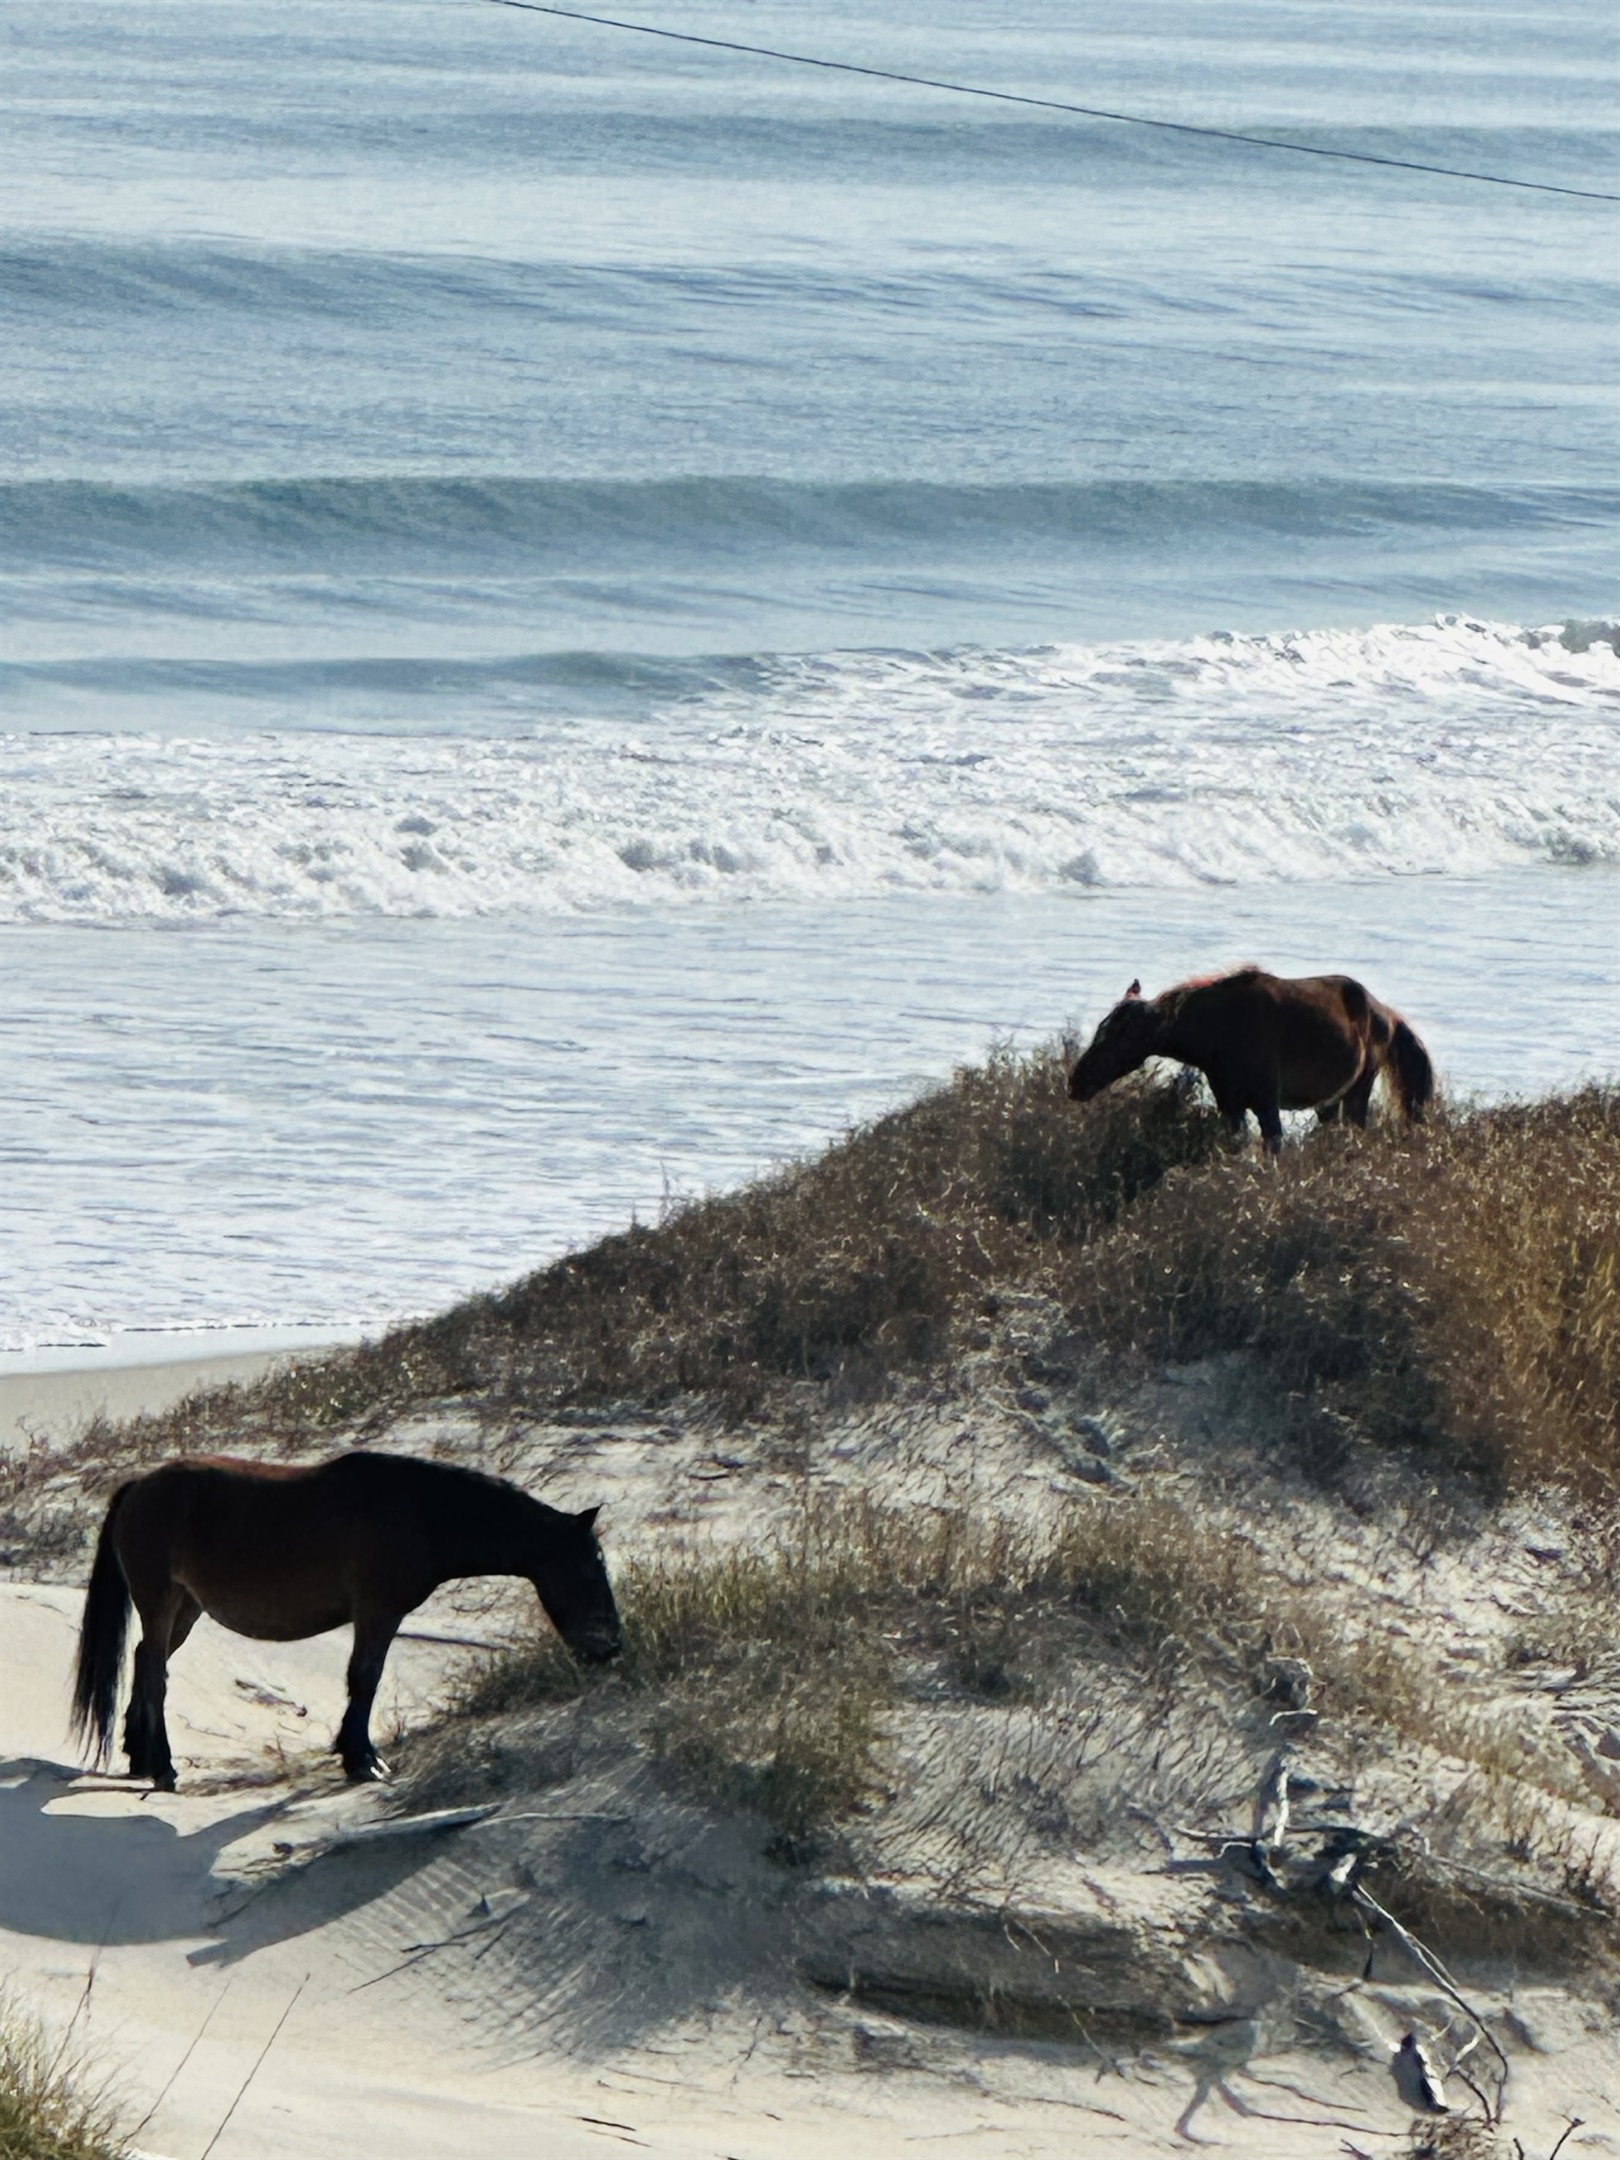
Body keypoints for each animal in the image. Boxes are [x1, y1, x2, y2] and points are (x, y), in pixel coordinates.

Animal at [70, 1450, 622, 1791]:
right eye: (589, 1565)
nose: (611, 1647)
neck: (421, 1511)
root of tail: (139, 1486)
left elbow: (363, 1681)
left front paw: (356, 1753)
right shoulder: (377, 1613)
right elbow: (365, 1679)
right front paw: (363, 1759)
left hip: (185, 1608)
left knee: (146, 1661)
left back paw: (140, 1756)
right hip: (161, 1601)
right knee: (154, 1674)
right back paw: (163, 1767)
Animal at [1066, 967, 1434, 1153]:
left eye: (1123, 1035)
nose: (1076, 1083)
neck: (1222, 1028)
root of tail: (1385, 1014)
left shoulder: (1266, 1104)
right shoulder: (1231, 1106)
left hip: (1357, 1092)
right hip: (1329, 1103)